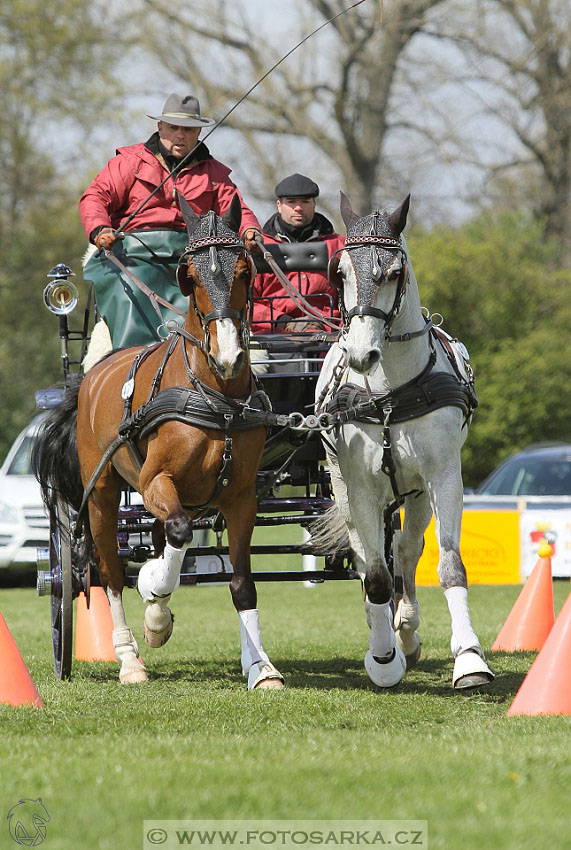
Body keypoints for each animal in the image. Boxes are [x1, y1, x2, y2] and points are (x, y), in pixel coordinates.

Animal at [33, 195, 284, 684]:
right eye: (192, 276)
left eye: (245, 271)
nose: (228, 356)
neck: (215, 397)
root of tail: (91, 375)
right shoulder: (154, 483)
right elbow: (177, 535)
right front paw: (154, 604)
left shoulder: (242, 497)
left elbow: (242, 583)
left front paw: (262, 668)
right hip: (102, 492)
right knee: (109, 571)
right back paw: (129, 658)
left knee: (155, 537)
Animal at [316, 194, 494, 688]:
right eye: (340, 271)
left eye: (393, 272)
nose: (361, 354)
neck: (389, 393)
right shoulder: (358, 486)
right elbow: (376, 577)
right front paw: (382, 659)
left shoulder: (443, 477)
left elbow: (448, 565)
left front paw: (469, 658)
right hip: (345, 489)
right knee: (367, 557)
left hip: (412, 495)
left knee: (406, 549)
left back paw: (407, 632)